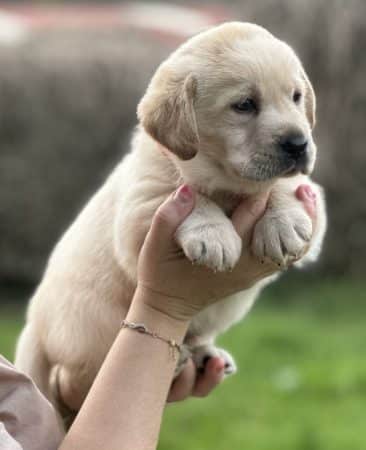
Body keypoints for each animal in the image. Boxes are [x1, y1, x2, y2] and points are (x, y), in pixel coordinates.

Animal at [15, 22, 328, 418]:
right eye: (244, 105)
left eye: (296, 97)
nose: (299, 143)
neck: (224, 181)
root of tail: (33, 326)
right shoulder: (140, 207)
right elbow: (190, 197)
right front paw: (215, 235)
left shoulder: (313, 199)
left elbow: (287, 188)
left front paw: (283, 225)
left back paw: (204, 354)